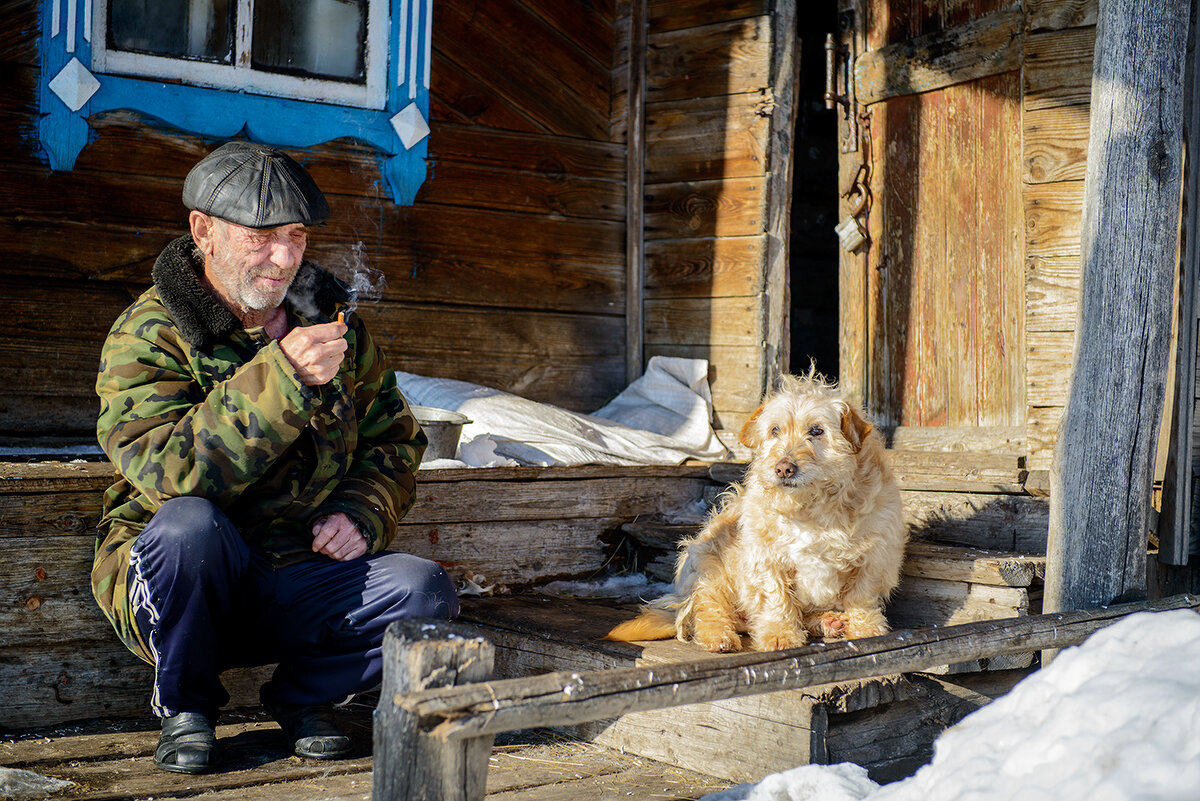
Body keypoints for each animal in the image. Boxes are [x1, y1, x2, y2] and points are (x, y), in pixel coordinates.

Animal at [604, 371, 902, 652]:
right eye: (774, 430)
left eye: (817, 431)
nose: (783, 468)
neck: (811, 507)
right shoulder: (766, 559)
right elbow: (777, 599)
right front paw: (780, 636)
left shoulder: (874, 556)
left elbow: (861, 595)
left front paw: (866, 629)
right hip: (709, 568)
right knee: (707, 610)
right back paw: (718, 637)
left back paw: (828, 621)